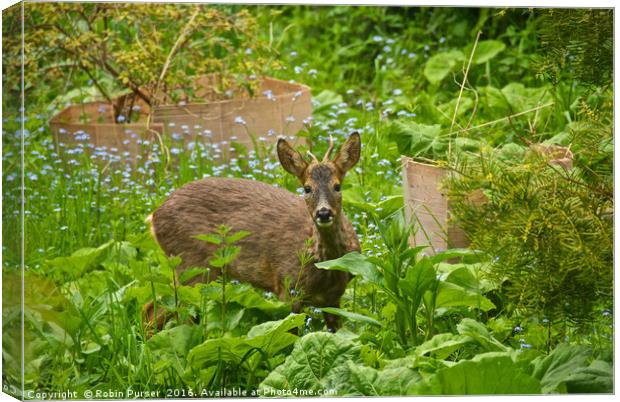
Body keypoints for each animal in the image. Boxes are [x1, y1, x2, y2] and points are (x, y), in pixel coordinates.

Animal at [147, 133, 360, 332]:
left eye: (337, 186)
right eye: (307, 188)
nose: (323, 213)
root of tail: (154, 216)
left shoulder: (333, 298)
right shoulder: (287, 287)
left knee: (154, 308)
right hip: (194, 266)